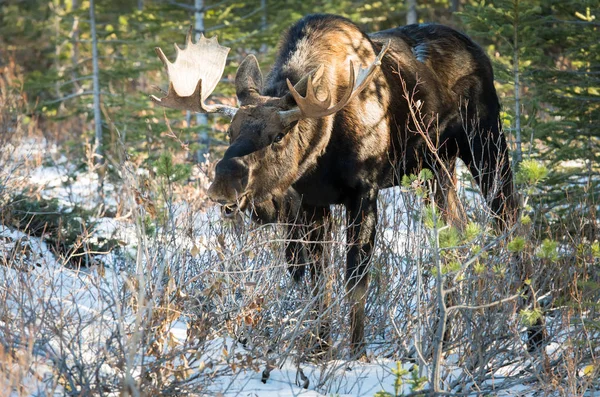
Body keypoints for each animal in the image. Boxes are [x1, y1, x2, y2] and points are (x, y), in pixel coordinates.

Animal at [151, 14, 520, 356]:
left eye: (279, 135)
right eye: (230, 132)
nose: (223, 184)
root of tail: (479, 52)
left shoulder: (364, 192)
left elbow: (355, 282)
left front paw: (356, 353)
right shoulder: (312, 203)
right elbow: (317, 284)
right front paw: (319, 351)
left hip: (486, 144)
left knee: (511, 222)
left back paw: (525, 332)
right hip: (437, 167)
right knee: (456, 233)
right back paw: (444, 340)